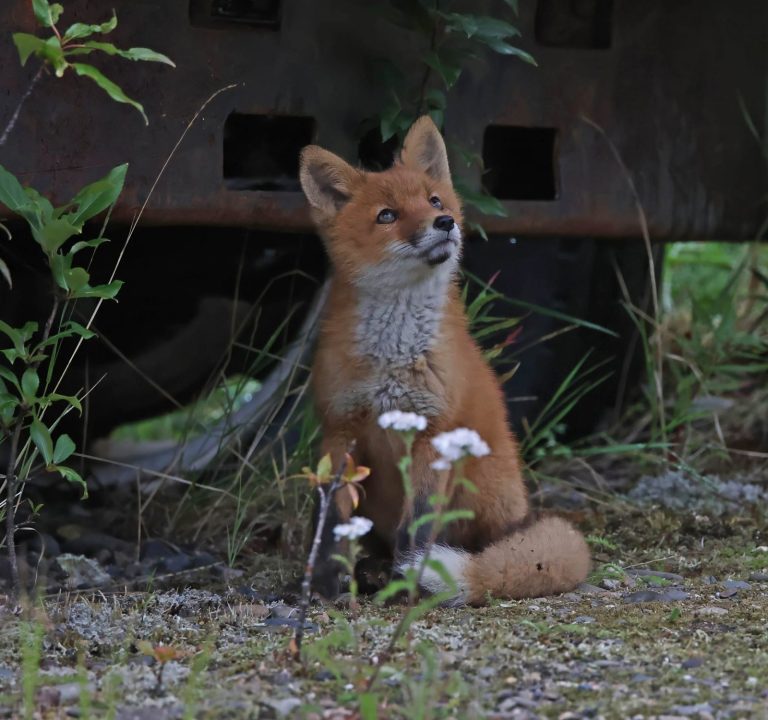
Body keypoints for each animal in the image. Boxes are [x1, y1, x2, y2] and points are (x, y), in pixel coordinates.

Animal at [298, 116, 590, 605]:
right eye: (387, 215)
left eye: (433, 200)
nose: (446, 222)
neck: (395, 357)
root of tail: (525, 511)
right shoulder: (339, 430)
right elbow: (332, 522)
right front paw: (323, 583)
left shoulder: (433, 432)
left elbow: (416, 525)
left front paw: (407, 582)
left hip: (483, 485)